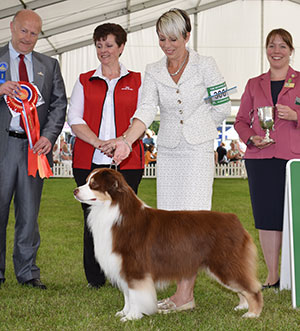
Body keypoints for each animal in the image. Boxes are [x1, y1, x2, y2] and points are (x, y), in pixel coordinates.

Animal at [74, 169, 264, 322]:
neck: (113, 212)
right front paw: (124, 312)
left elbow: (135, 295)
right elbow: (128, 294)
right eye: (86, 180)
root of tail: (235, 220)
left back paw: (252, 314)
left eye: (93, 184)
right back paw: (242, 306)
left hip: (225, 264)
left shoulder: (135, 268)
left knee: (253, 288)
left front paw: (132, 317)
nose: (75, 190)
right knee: (242, 286)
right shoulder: (122, 267)